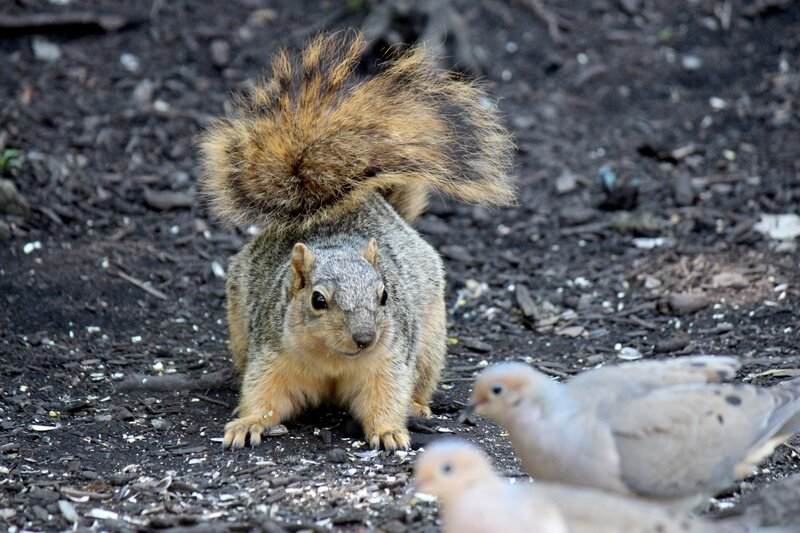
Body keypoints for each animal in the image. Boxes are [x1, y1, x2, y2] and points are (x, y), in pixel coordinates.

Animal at [198, 31, 514, 450]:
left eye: (384, 296)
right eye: (318, 300)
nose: (364, 337)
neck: (335, 359)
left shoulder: (389, 358)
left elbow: (386, 395)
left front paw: (390, 431)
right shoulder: (272, 355)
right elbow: (265, 395)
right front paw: (246, 423)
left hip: (430, 338)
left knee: (421, 377)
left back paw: (418, 406)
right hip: (238, 325)